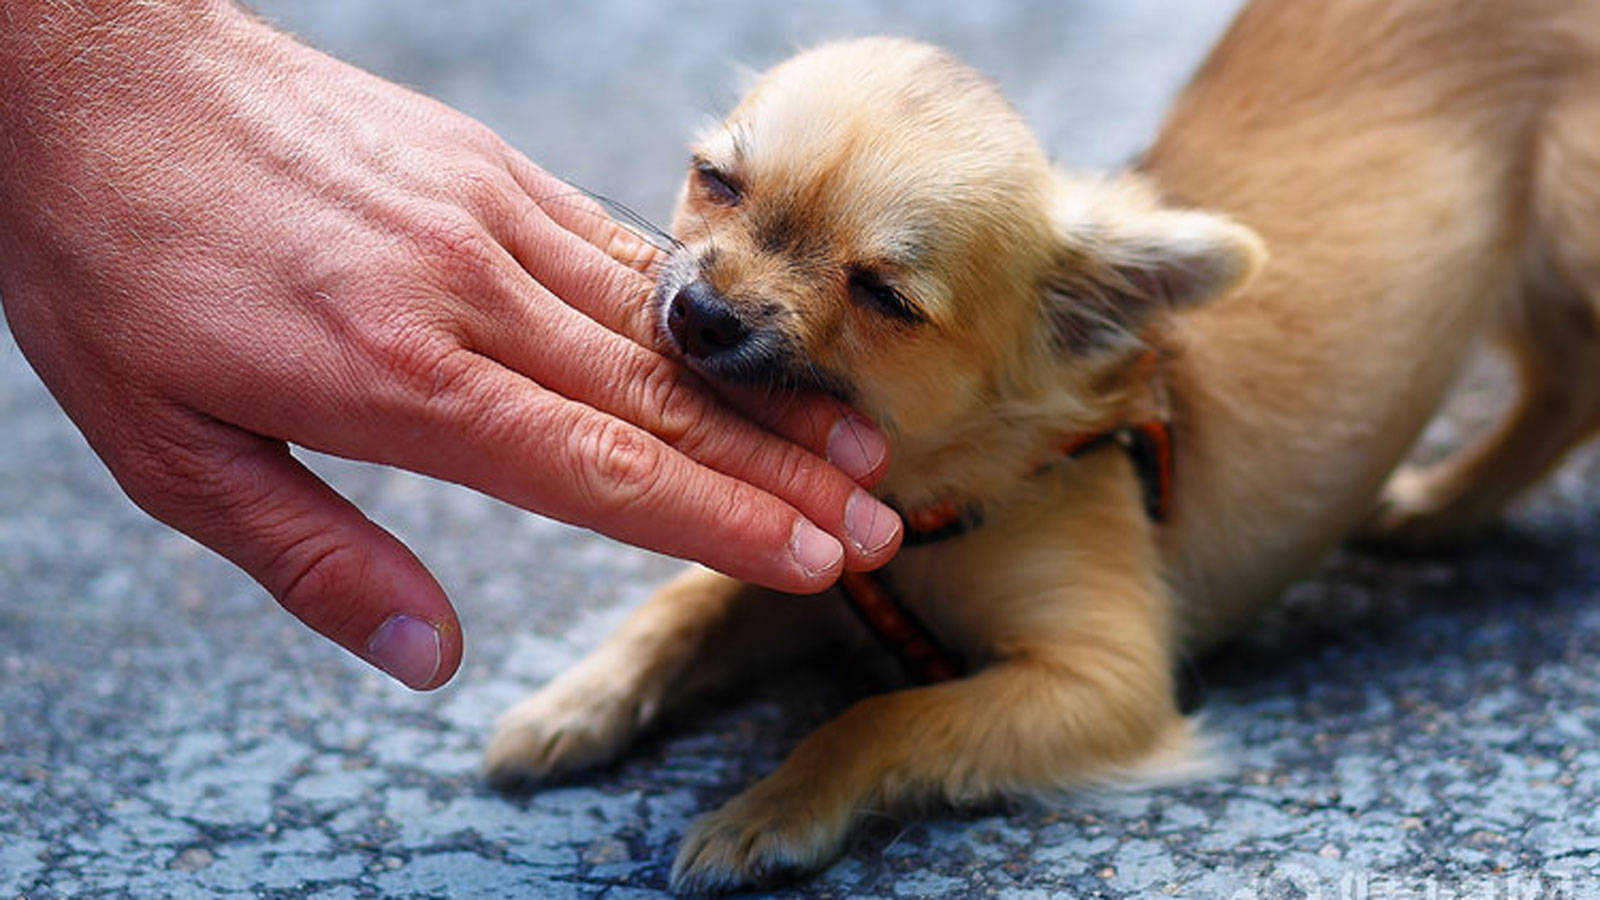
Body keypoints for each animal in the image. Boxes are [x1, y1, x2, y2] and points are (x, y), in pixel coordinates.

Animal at [480, 3, 1600, 890]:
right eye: (714, 180)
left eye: (882, 296)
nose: (701, 312)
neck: (926, 496)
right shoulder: (819, 573)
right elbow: (687, 605)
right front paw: (571, 704)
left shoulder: (1101, 683)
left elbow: (881, 718)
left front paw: (770, 809)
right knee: (1562, 385)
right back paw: (1441, 505)